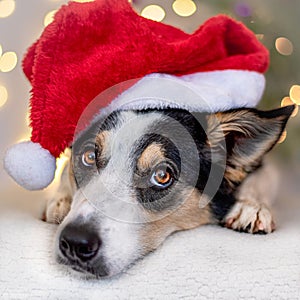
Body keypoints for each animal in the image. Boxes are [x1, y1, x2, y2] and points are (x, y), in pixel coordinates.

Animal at [44, 105, 292, 276]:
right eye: (89, 156)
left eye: (162, 175)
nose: (76, 242)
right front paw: (60, 201)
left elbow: (263, 176)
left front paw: (251, 207)